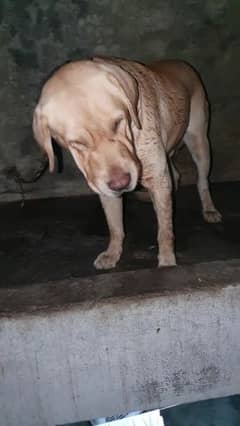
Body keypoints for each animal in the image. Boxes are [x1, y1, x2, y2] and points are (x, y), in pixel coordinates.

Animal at [32, 56, 222, 270]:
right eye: (77, 143)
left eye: (117, 122)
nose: (120, 184)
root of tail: (183, 63)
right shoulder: (107, 188)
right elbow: (115, 226)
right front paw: (112, 254)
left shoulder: (157, 176)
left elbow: (165, 231)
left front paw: (167, 262)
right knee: (175, 176)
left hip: (200, 144)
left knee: (202, 181)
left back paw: (209, 209)